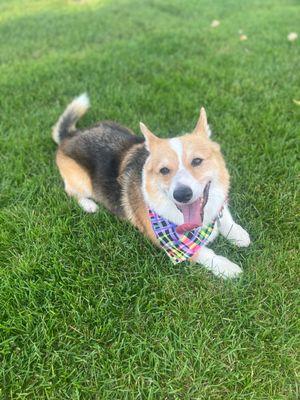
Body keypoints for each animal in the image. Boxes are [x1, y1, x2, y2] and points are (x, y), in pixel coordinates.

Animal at [52, 94, 250, 278]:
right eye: (164, 170)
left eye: (197, 161)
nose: (182, 194)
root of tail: (70, 136)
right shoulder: (173, 246)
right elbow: (205, 254)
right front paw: (228, 268)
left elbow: (225, 216)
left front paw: (238, 233)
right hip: (83, 182)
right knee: (71, 191)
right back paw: (89, 205)